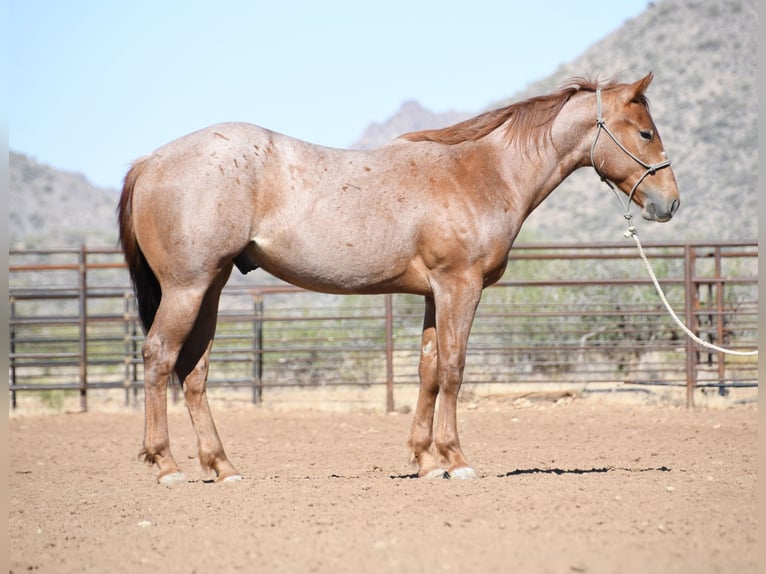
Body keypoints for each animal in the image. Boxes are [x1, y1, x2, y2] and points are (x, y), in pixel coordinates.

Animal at [118, 72, 679, 484]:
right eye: (645, 132)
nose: (669, 203)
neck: (481, 172)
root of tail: (150, 161)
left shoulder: (434, 294)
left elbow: (428, 370)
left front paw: (426, 461)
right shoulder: (459, 286)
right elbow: (454, 368)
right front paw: (456, 460)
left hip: (210, 289)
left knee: (193, 372)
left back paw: (223, 467)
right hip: (188, 288)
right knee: (159, 358)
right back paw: (166, 465)